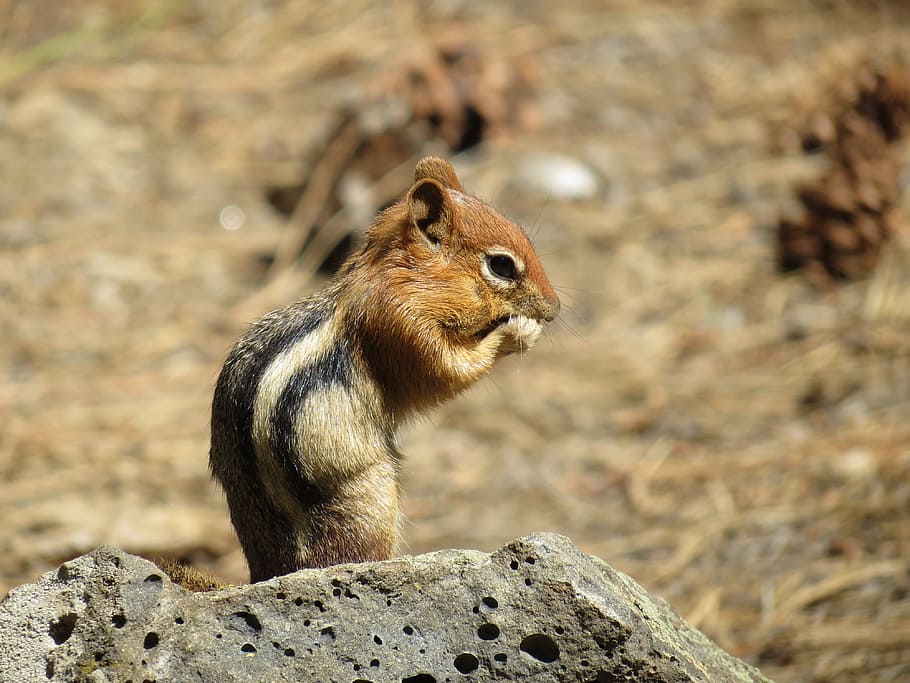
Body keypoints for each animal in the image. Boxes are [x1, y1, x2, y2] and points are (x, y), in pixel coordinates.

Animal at [209, 157, 559, 583]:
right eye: (502, 266)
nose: (554, 308)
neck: (401, 277)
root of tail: (270, 569)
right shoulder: (401, 325)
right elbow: (446, 372)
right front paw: (517, 332)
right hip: (371, 501)